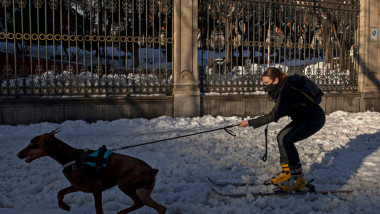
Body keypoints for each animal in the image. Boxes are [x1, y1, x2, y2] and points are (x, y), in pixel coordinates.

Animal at [16, 129, 166, 214]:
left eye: (33, 144)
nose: (18, 154)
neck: (71, 158)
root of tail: (153, 171)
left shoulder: (96, 188)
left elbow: (99, 210)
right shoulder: (78, 186)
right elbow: (60, 193)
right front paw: (64, 206)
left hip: (124, 184)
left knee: (139, 203)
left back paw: (121, 212)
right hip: (142, 191)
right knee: (160, 208)